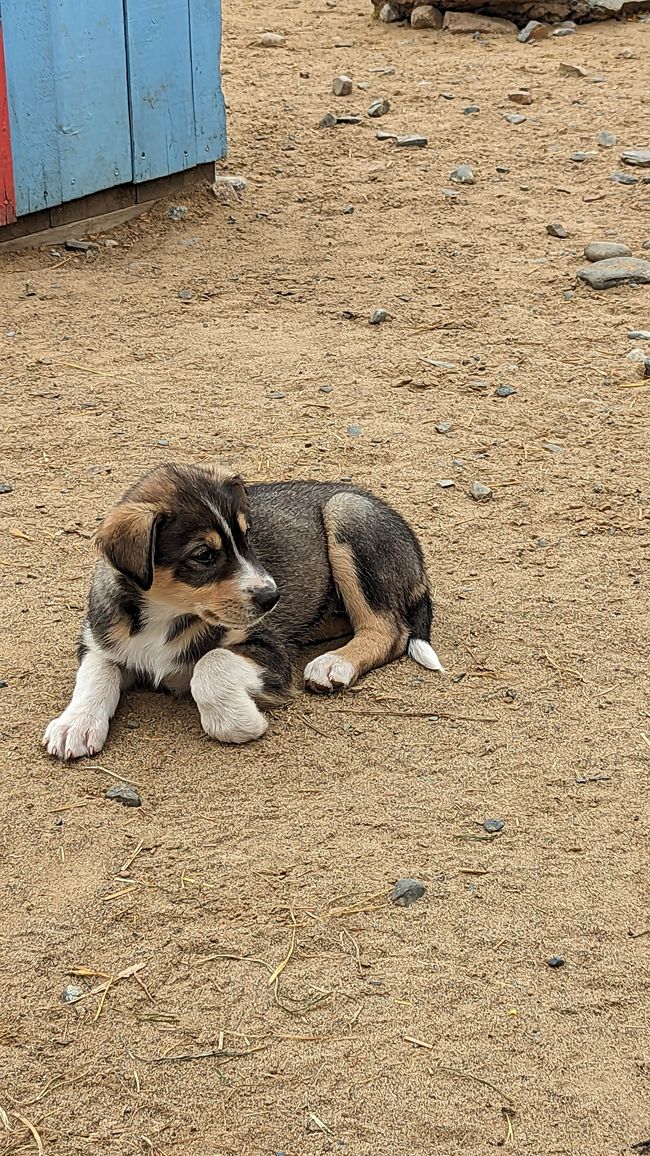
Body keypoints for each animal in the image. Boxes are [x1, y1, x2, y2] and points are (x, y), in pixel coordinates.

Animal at [43, 460, 441, 758]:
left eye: (246, 538)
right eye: (204, 555)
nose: (272, 598)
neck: (164, 615)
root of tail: (418, 560)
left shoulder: (271, 651)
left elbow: (210, 664)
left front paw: (239, 723)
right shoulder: (101, 639)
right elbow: (96, 674)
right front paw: (75, 724)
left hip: (347, 513)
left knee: (388, 630)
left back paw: (334, 663)